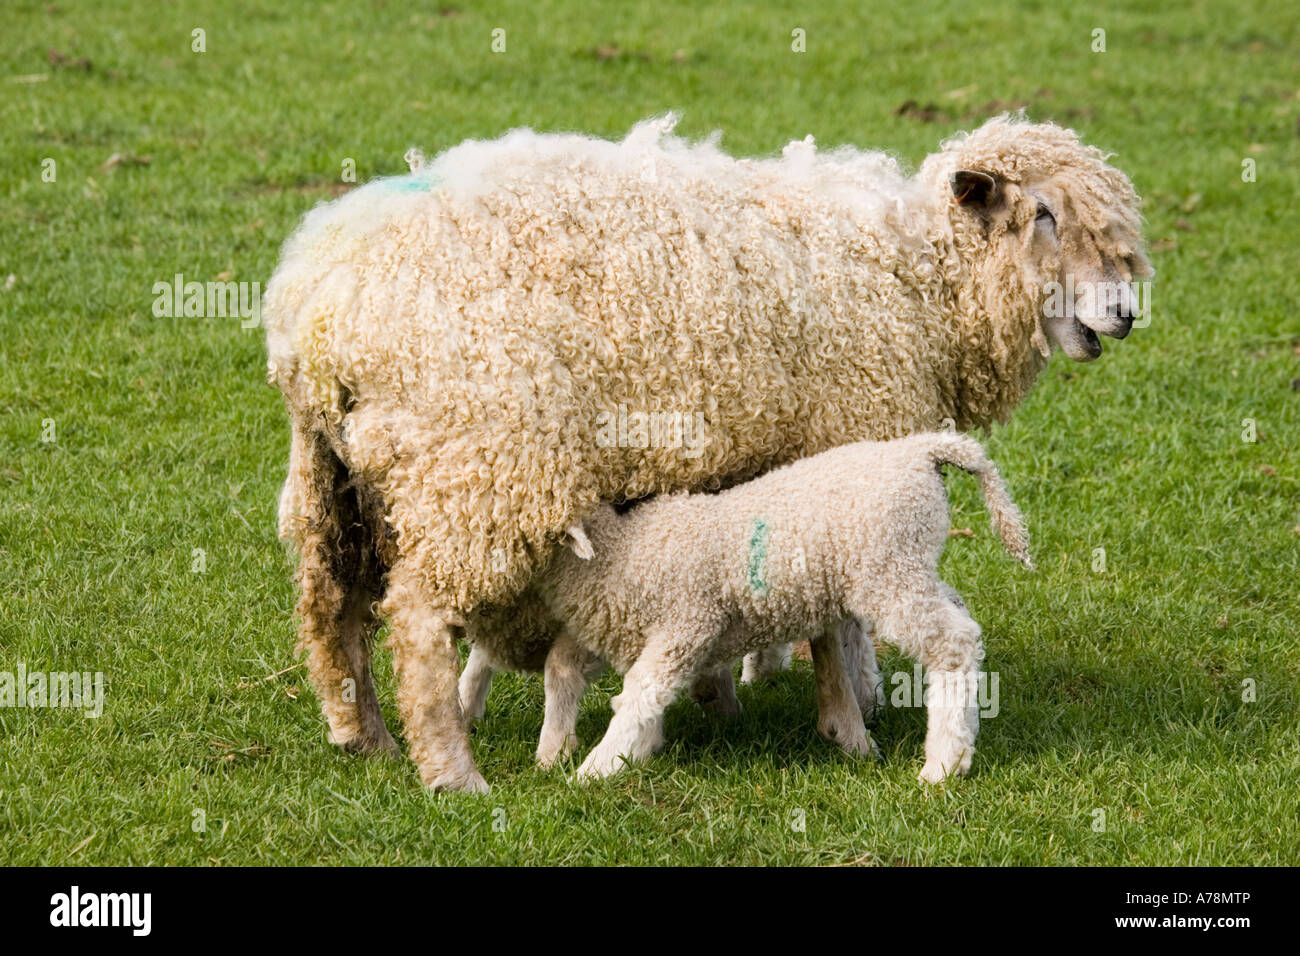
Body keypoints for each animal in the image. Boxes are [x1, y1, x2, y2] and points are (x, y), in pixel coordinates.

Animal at [533, 432, 1033, 782]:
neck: (619, 550)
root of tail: (922, 450)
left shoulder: (688, 623)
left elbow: (639, 693)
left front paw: (595, 769)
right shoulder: (621, 629)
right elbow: (564, 668)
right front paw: (555, 751)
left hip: (889, 571)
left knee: (954, 644)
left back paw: (944, 764)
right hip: (912, 566)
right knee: (962, 617)